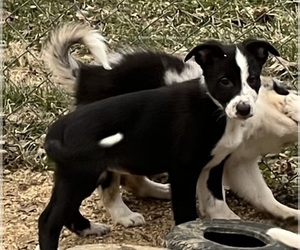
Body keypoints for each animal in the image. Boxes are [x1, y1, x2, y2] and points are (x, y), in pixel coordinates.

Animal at [38, 23, 280, 250]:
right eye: (224, 81)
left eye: (253, 79)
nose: (244, 109)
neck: (214, 109)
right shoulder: (183, 170)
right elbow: (186, 215)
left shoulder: (214, 164)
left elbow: (216, 199)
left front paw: (228, 222)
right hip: (83, 174)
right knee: (51, 218)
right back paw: (121, 215)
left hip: (73, 177)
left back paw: (89, 228)